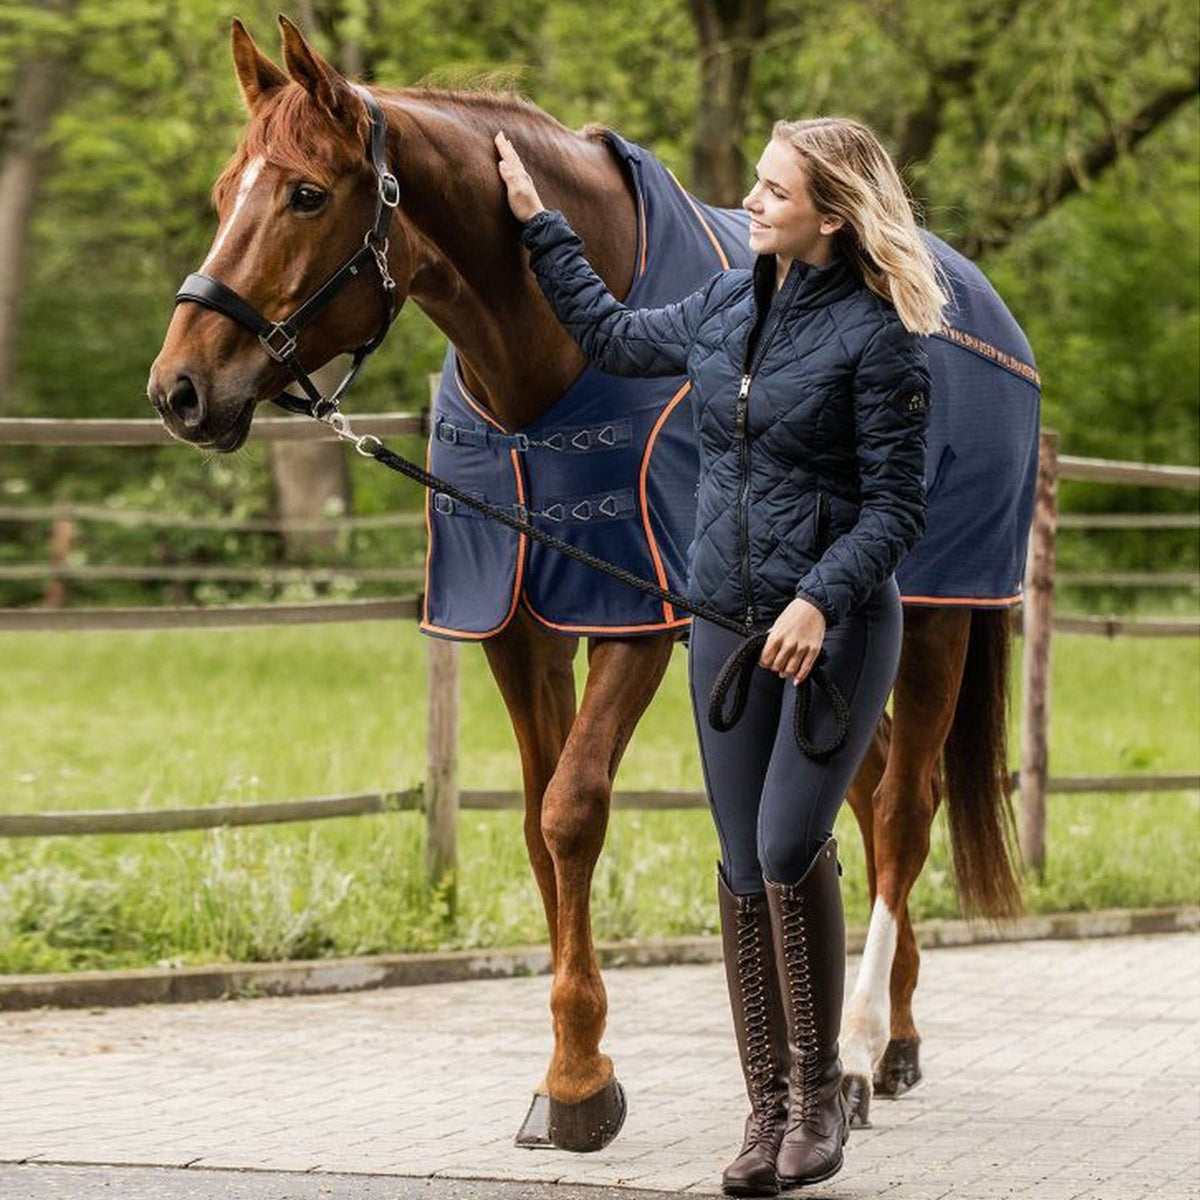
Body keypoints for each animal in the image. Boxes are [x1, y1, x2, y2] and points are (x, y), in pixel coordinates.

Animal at [150, 14, 1022, 1147]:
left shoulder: (639, 620)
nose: (180, 388)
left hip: (937, 619)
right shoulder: (517, 625)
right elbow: (535, 822)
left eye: (304, 193)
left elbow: (573, 810)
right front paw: (574, 1067)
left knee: (907, 812)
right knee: (865, 802)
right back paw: (890, 1042)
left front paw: (575, 1085)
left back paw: (869, 1044)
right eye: (225, 192)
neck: (542, 364)